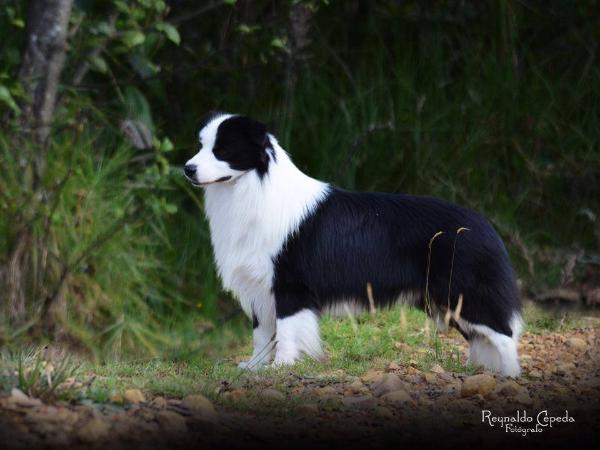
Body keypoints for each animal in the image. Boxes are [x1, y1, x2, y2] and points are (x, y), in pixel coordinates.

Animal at [185, 111, 524, 376]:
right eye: (201, 146)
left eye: (222, 149)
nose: (187, 168)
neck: (254, 188)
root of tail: (483, 226)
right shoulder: (259, 287)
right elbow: (262, 333)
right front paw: (253, 368)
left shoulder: (290, 285)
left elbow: (287, 330)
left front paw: (282, 367)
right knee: (484, 337)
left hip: (464, 290)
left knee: (504, 333)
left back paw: (509, 375)